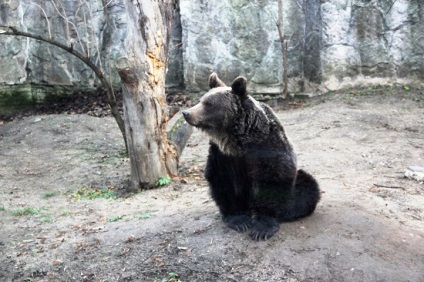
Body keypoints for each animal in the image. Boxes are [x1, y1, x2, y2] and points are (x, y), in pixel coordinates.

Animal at [183, 73, 322, 240]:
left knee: (307, 187)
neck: (237, 140)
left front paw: (262, 228)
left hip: (297, 185)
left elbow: (273, 178)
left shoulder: (267, 147)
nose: (186, 113)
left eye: (208, 104)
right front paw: (239, 220)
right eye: (201, 100)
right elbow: (223, 181)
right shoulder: (222, 155)